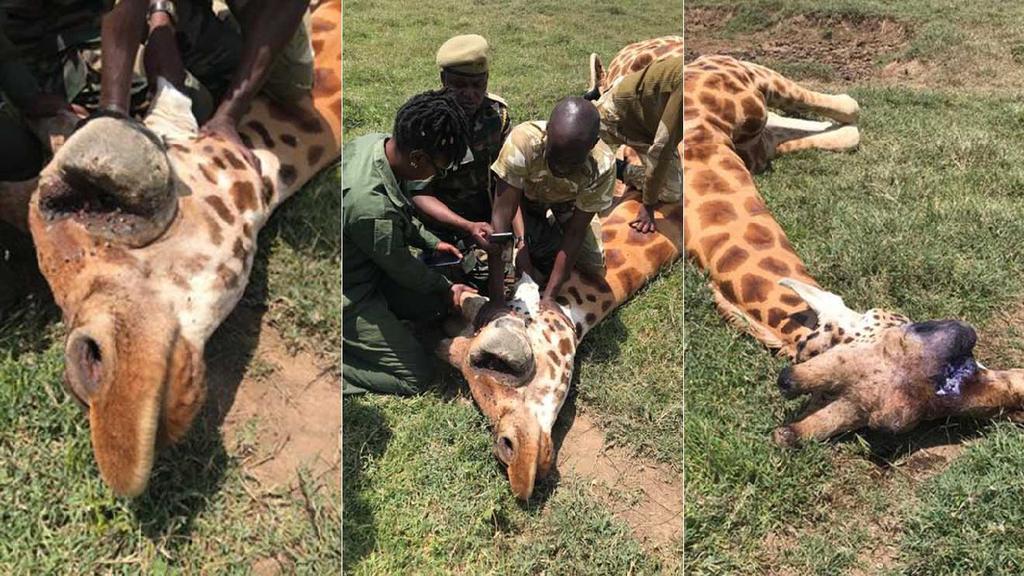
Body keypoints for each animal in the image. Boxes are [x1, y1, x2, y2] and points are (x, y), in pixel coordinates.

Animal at [684, 54, 1024, 447]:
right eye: (895, 426)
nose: (1015, 398)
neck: (705, 138)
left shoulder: (755, 86)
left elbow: (847, 114)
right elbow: (847, 118)